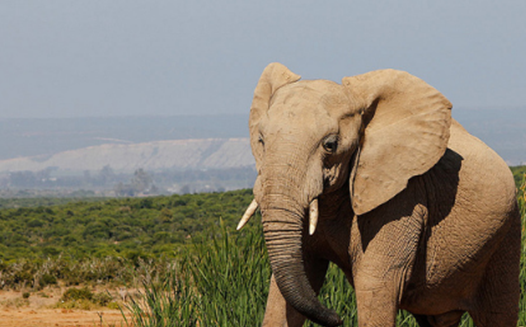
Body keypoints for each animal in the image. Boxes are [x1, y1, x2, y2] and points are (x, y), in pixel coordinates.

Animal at [239, 62, 524, 326]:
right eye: (261, 141)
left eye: (330, 145)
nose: (337, 316)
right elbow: (288, 288)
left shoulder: (402, 200)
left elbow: (375, 284)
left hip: (507, 231)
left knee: (497, 312)